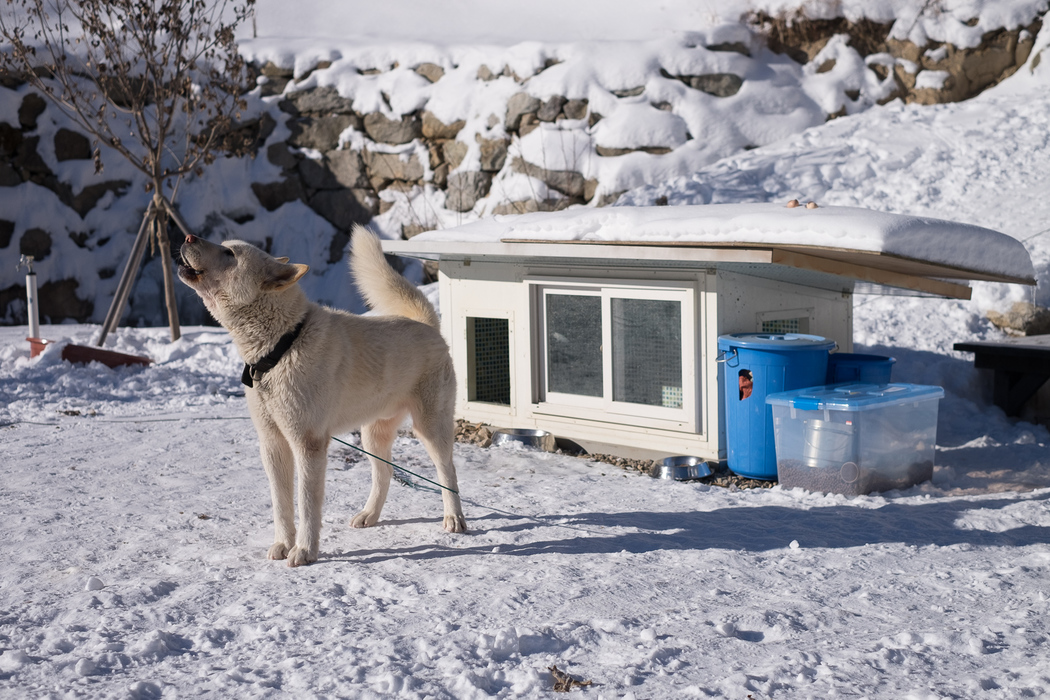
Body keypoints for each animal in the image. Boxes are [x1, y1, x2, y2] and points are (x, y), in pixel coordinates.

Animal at [178, 227, 466, 566]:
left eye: (229, 254)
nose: (188, 237)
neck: (281, 345)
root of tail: (427, 326)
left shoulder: (308, 444)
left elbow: (305, 504)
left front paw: (304, 550)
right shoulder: (272, 445)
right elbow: (281, 504)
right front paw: (283, 544)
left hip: (430, 429)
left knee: (448, 472)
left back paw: (454, 518)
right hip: (372, 436)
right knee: (385, 473)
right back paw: (369, 515)